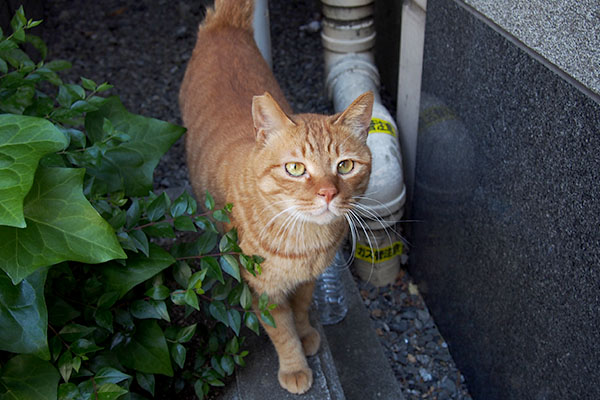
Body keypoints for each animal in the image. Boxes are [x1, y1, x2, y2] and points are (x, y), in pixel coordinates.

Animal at [180, 0, 372, 394]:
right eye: (296, 169)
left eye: (345, 166)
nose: (328, 193)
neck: (305, 240)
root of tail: (224, 26)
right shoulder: (263, 290)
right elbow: (281, 332)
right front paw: (295, 367)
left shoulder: (308, 280)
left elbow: (300, 310)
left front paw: (307, 334)